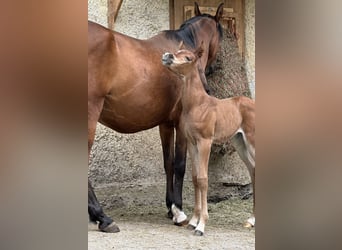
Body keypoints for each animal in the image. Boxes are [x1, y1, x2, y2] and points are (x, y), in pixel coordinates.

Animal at [88, 2, 224, 232]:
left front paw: (170, 208)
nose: (213, 69)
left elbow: (168, 163)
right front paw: (178, 211)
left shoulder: (165, 124)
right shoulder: (180, 124)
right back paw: (102, 217)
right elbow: (180, 165)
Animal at [162, 42, 255, 235]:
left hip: (253, 142)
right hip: (240, 144)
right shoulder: (192, 143)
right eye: (176, 51)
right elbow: (195, 177)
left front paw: (201, 225)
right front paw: (193, 221)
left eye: (188, 57)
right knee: (253, 171)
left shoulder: (205, 142)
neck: (197, 104)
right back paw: (251, 220)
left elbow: (204, 179)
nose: (167, 56)